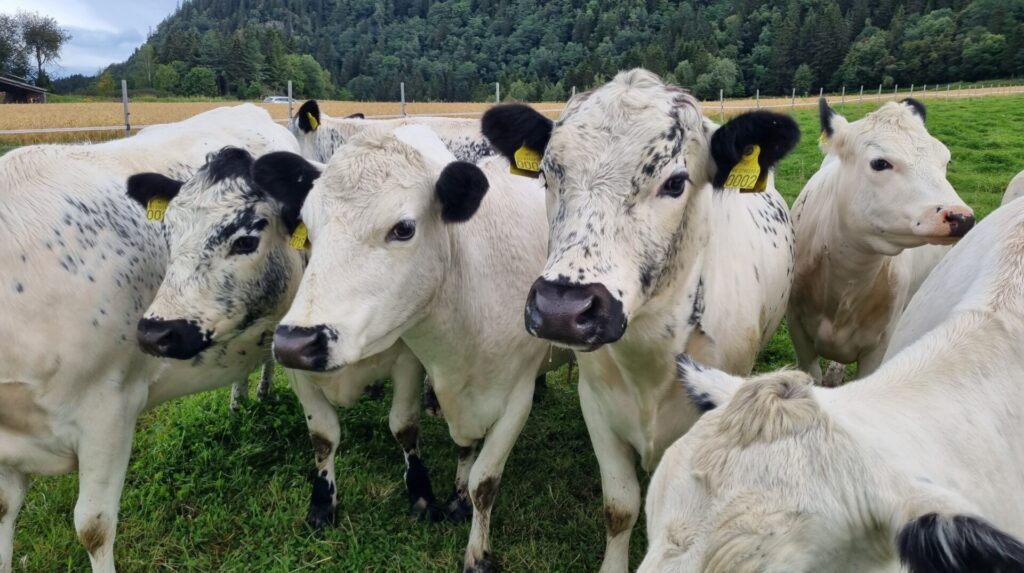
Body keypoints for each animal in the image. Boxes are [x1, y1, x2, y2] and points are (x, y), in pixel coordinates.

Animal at [127, 146, 442, 529]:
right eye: (168, 235)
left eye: (245, 241)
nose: (155, 333)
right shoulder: (295, 366)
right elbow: (323, 437)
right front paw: (322, 504)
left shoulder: (408, 361)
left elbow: (404, 427)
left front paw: (422, 495)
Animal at [261, 125, 567, 572]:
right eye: (308, 229)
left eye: (403, 228)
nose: (295, 343)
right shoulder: (443, 381)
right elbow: (328, 438)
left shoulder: (515, 399)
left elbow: (484, 481)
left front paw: (477, 552)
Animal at [479, 69, 800, 573]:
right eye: (548, 175)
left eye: (675, 183)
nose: (562, 310)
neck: (651, 351)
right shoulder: (597, 405)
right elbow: (620, 507)